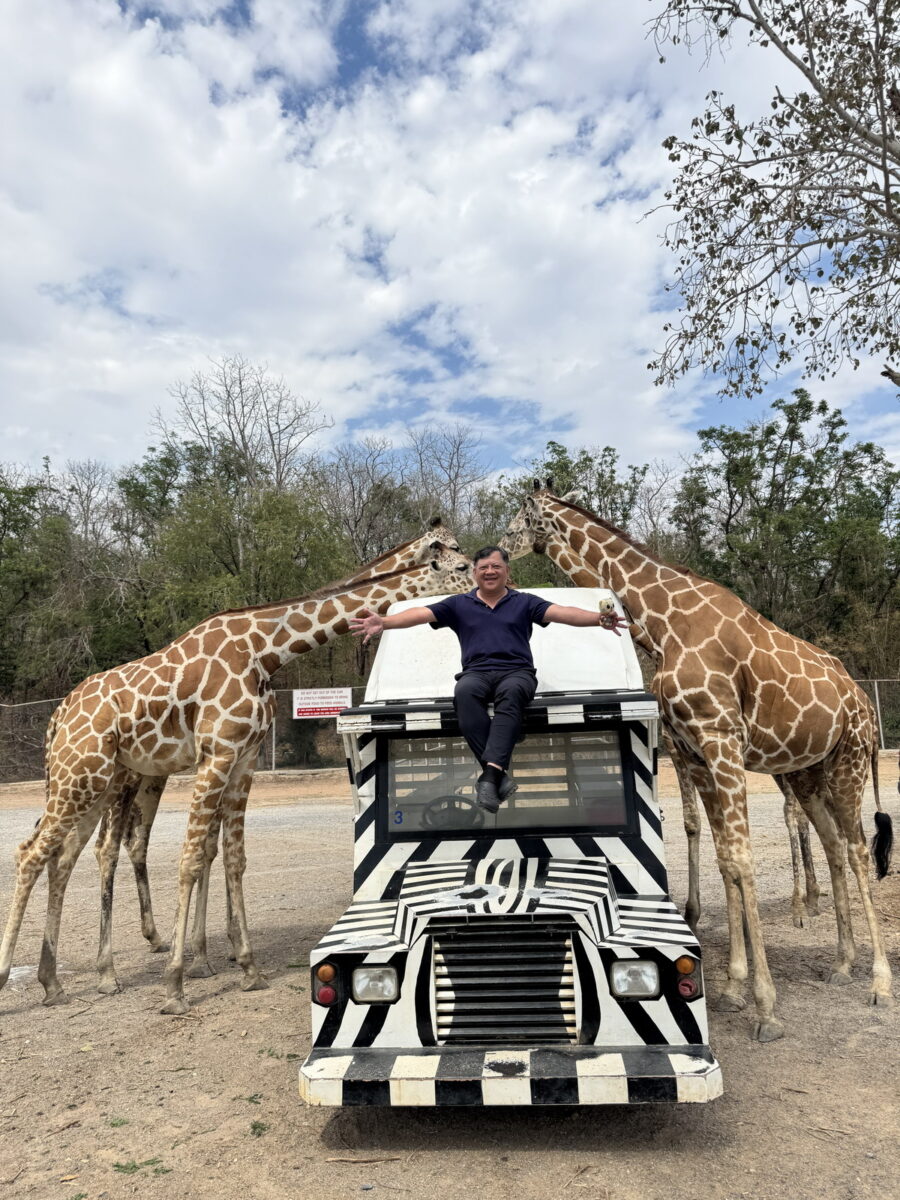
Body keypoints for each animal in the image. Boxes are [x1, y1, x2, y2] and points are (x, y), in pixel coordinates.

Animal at [0, 544, 475, 1012]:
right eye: (463, 564)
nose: (484, 591)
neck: (265, 648)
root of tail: (58, 717)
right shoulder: (217, 754)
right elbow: (192, 857)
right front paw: (177, 982)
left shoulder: (244, 759)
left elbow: (231, 857)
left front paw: (244, 966)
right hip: (88, 777)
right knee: (37, 853)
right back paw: (37, 976)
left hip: (93, 782)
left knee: (64, 856)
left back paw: (56, 982)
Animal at [501, 501, 825, 931]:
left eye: (512, 528)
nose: (498, 556)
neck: (656, 638)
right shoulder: (677, 741)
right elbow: (691, 821)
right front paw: (700, 911)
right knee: (803, 812)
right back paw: (813, 897)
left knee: (794, 812)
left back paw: (801, 906)